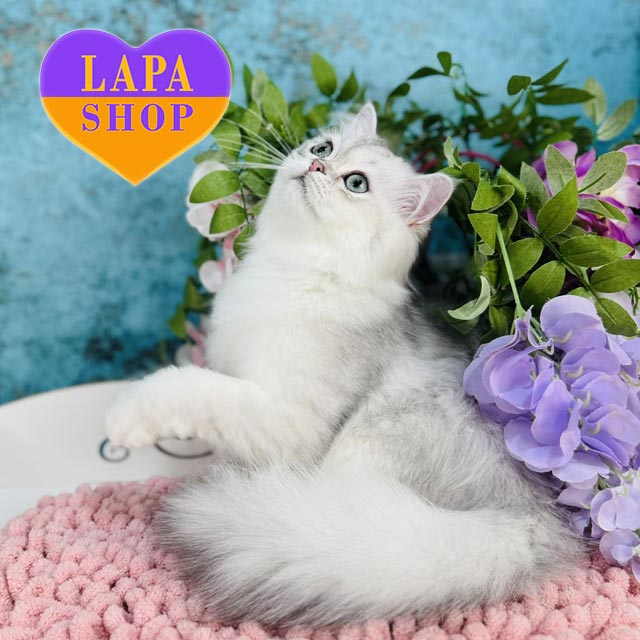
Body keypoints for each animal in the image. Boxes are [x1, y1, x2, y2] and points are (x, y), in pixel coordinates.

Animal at [106, 103, 583, 626]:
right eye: (323, 148)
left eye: (356, 183)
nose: (316, 165)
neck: (293, 271)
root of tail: (536, 521)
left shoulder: (289, 422)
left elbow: (193, 390)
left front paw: (128, 416)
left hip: (365, 446)